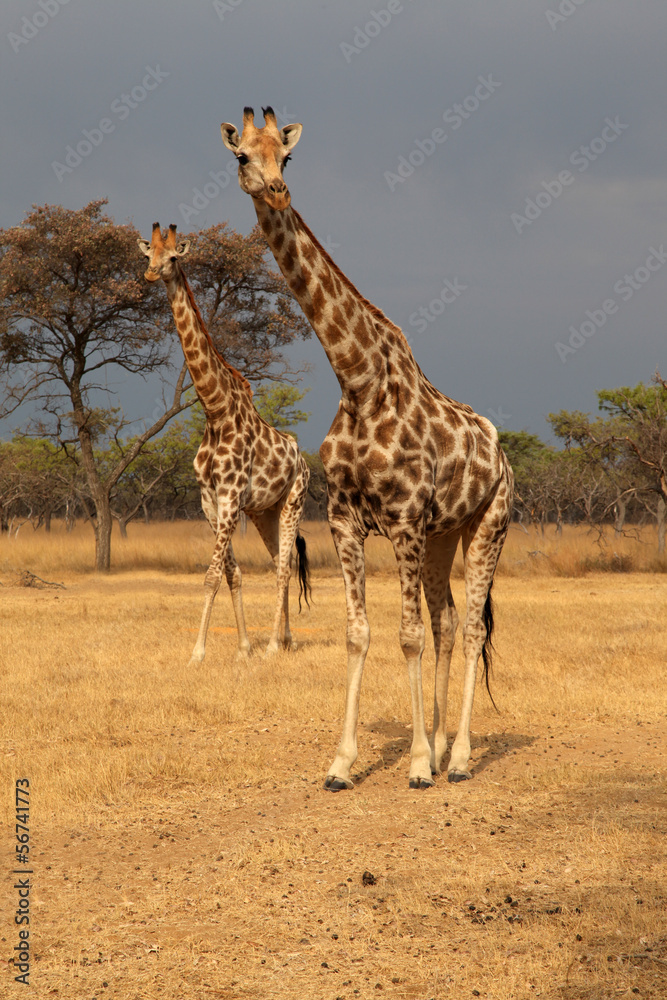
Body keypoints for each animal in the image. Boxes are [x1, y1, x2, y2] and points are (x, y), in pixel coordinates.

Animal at [138, 222, 311, 664]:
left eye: (173, 257)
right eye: (148, 255)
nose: (151, 274)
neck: (215, 410)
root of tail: (304, 462)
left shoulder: (231, 497)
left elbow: (212, 574)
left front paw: (198, 653)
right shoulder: (210, 501)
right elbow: (231, 574)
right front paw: (242, 648)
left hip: (294, 502)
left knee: (284, 567)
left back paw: (275, 646)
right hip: (265, 513)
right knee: (278, 560)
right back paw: (285, 639)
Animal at [221, 107, 514, 790]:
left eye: (288, 156)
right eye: (243, 155)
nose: (277, 190)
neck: (357, 379)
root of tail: (505, 458)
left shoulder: (403, 518)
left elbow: (405, 635)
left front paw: (416, 765)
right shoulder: (345, 520)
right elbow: (360, 634)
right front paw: (343, 762)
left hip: (489, 525)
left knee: (468, 628)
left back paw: (459, 758)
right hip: (443, 533)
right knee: (449, 620)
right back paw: (442, 743)